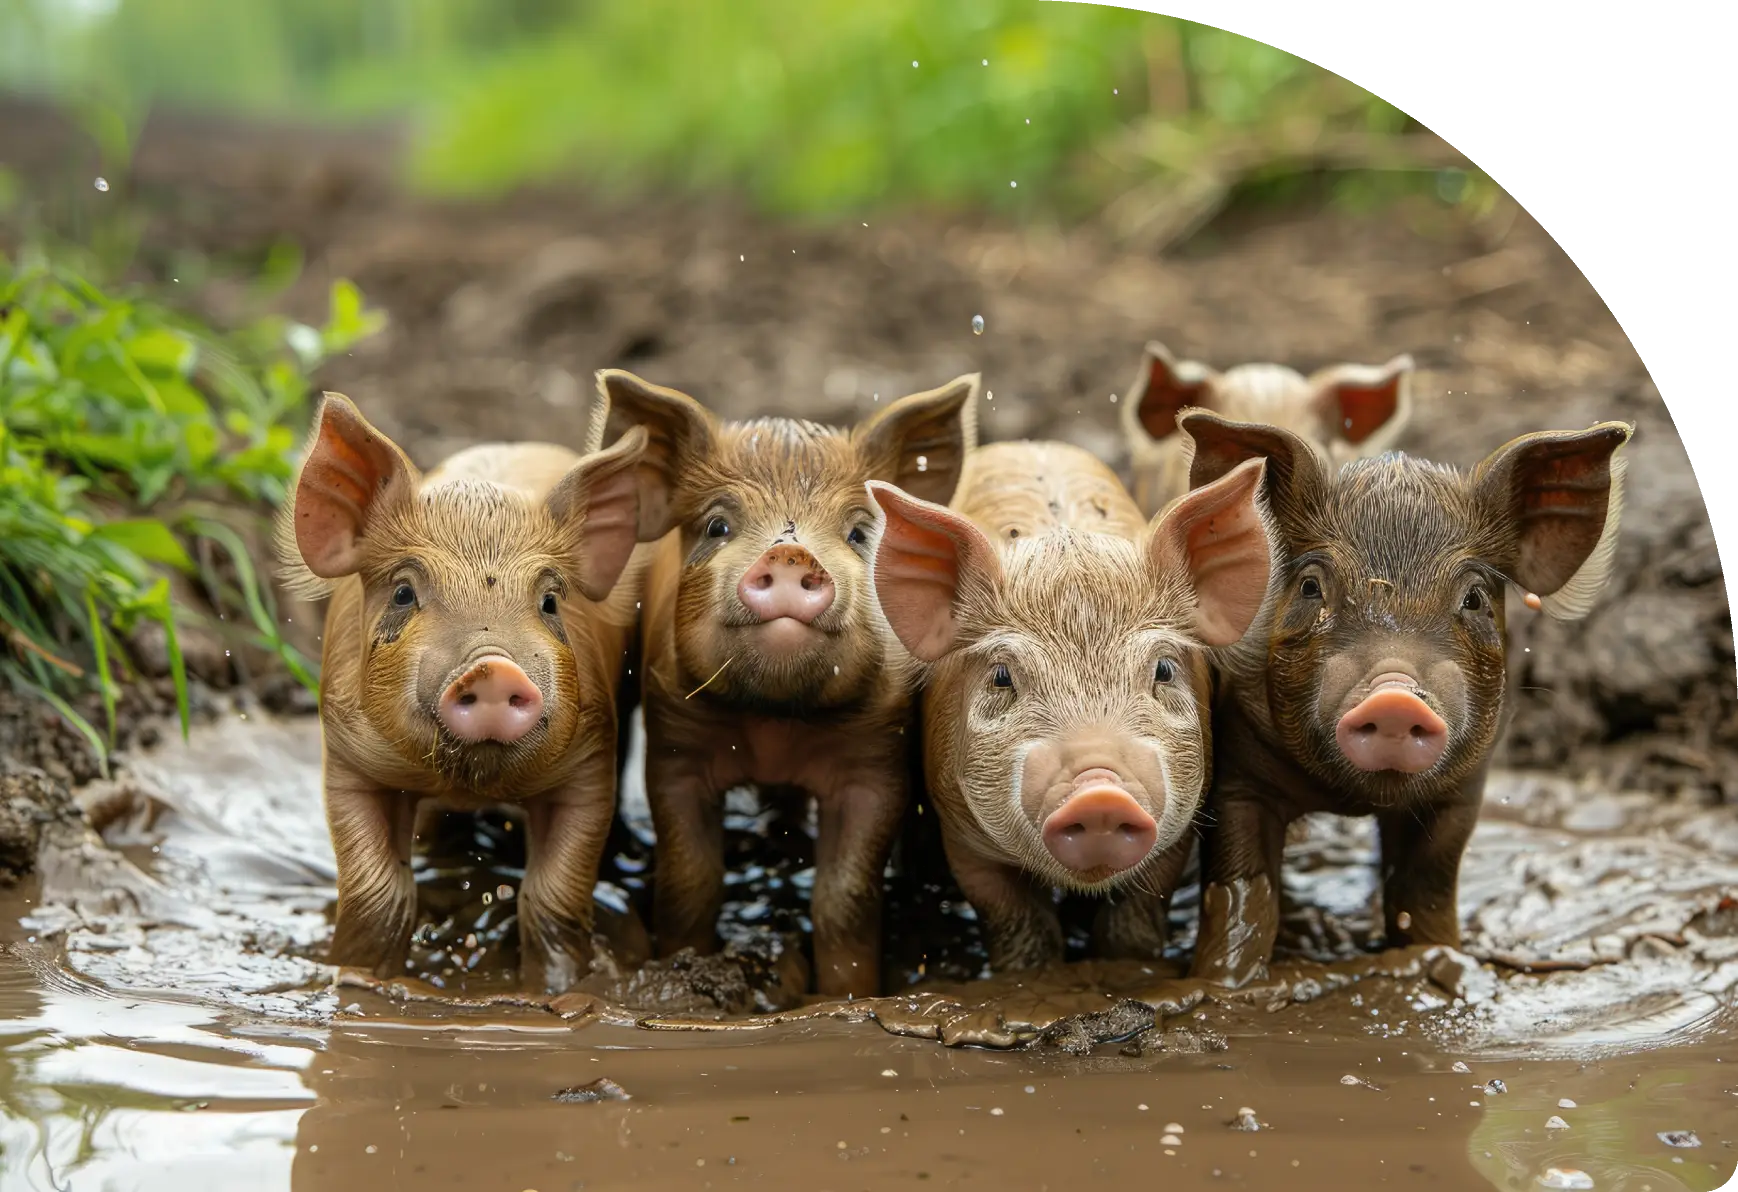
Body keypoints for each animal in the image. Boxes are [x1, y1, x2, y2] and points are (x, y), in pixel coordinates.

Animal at [278, 394, 656, 1000]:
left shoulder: (589, 758)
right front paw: (356, 978)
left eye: (550, 602)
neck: (468, 781)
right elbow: (376, 893)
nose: (493, 667)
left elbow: (551, 898)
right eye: (403, 592)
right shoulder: (346, 757)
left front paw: (552, 991)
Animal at [594, 366, 980, 1000]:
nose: (792, 551)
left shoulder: (875, 761)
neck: (775, 724)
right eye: (717, 524)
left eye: (859, 533)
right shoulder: (675, 745)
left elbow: (844, 899)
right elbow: (691, 880)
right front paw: (683, 964)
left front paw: (848, 994)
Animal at [869, 443, 1279, 973]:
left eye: (1164, 669)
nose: (1099, 793)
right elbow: (1017, 922)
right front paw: (1034, 973)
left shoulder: (1180, 829)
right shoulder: (962, 836)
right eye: (1002, 677)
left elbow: (1136, 916)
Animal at [1181, 410, 1626, 986]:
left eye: (1474, 598)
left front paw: (1438, 958)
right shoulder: (1239, 775)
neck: (1352, 799)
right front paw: (1222, 983)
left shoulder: (1463, 791)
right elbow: (1241, 890)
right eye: (1310, 587)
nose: (1394, 698)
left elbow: (1426, 890)